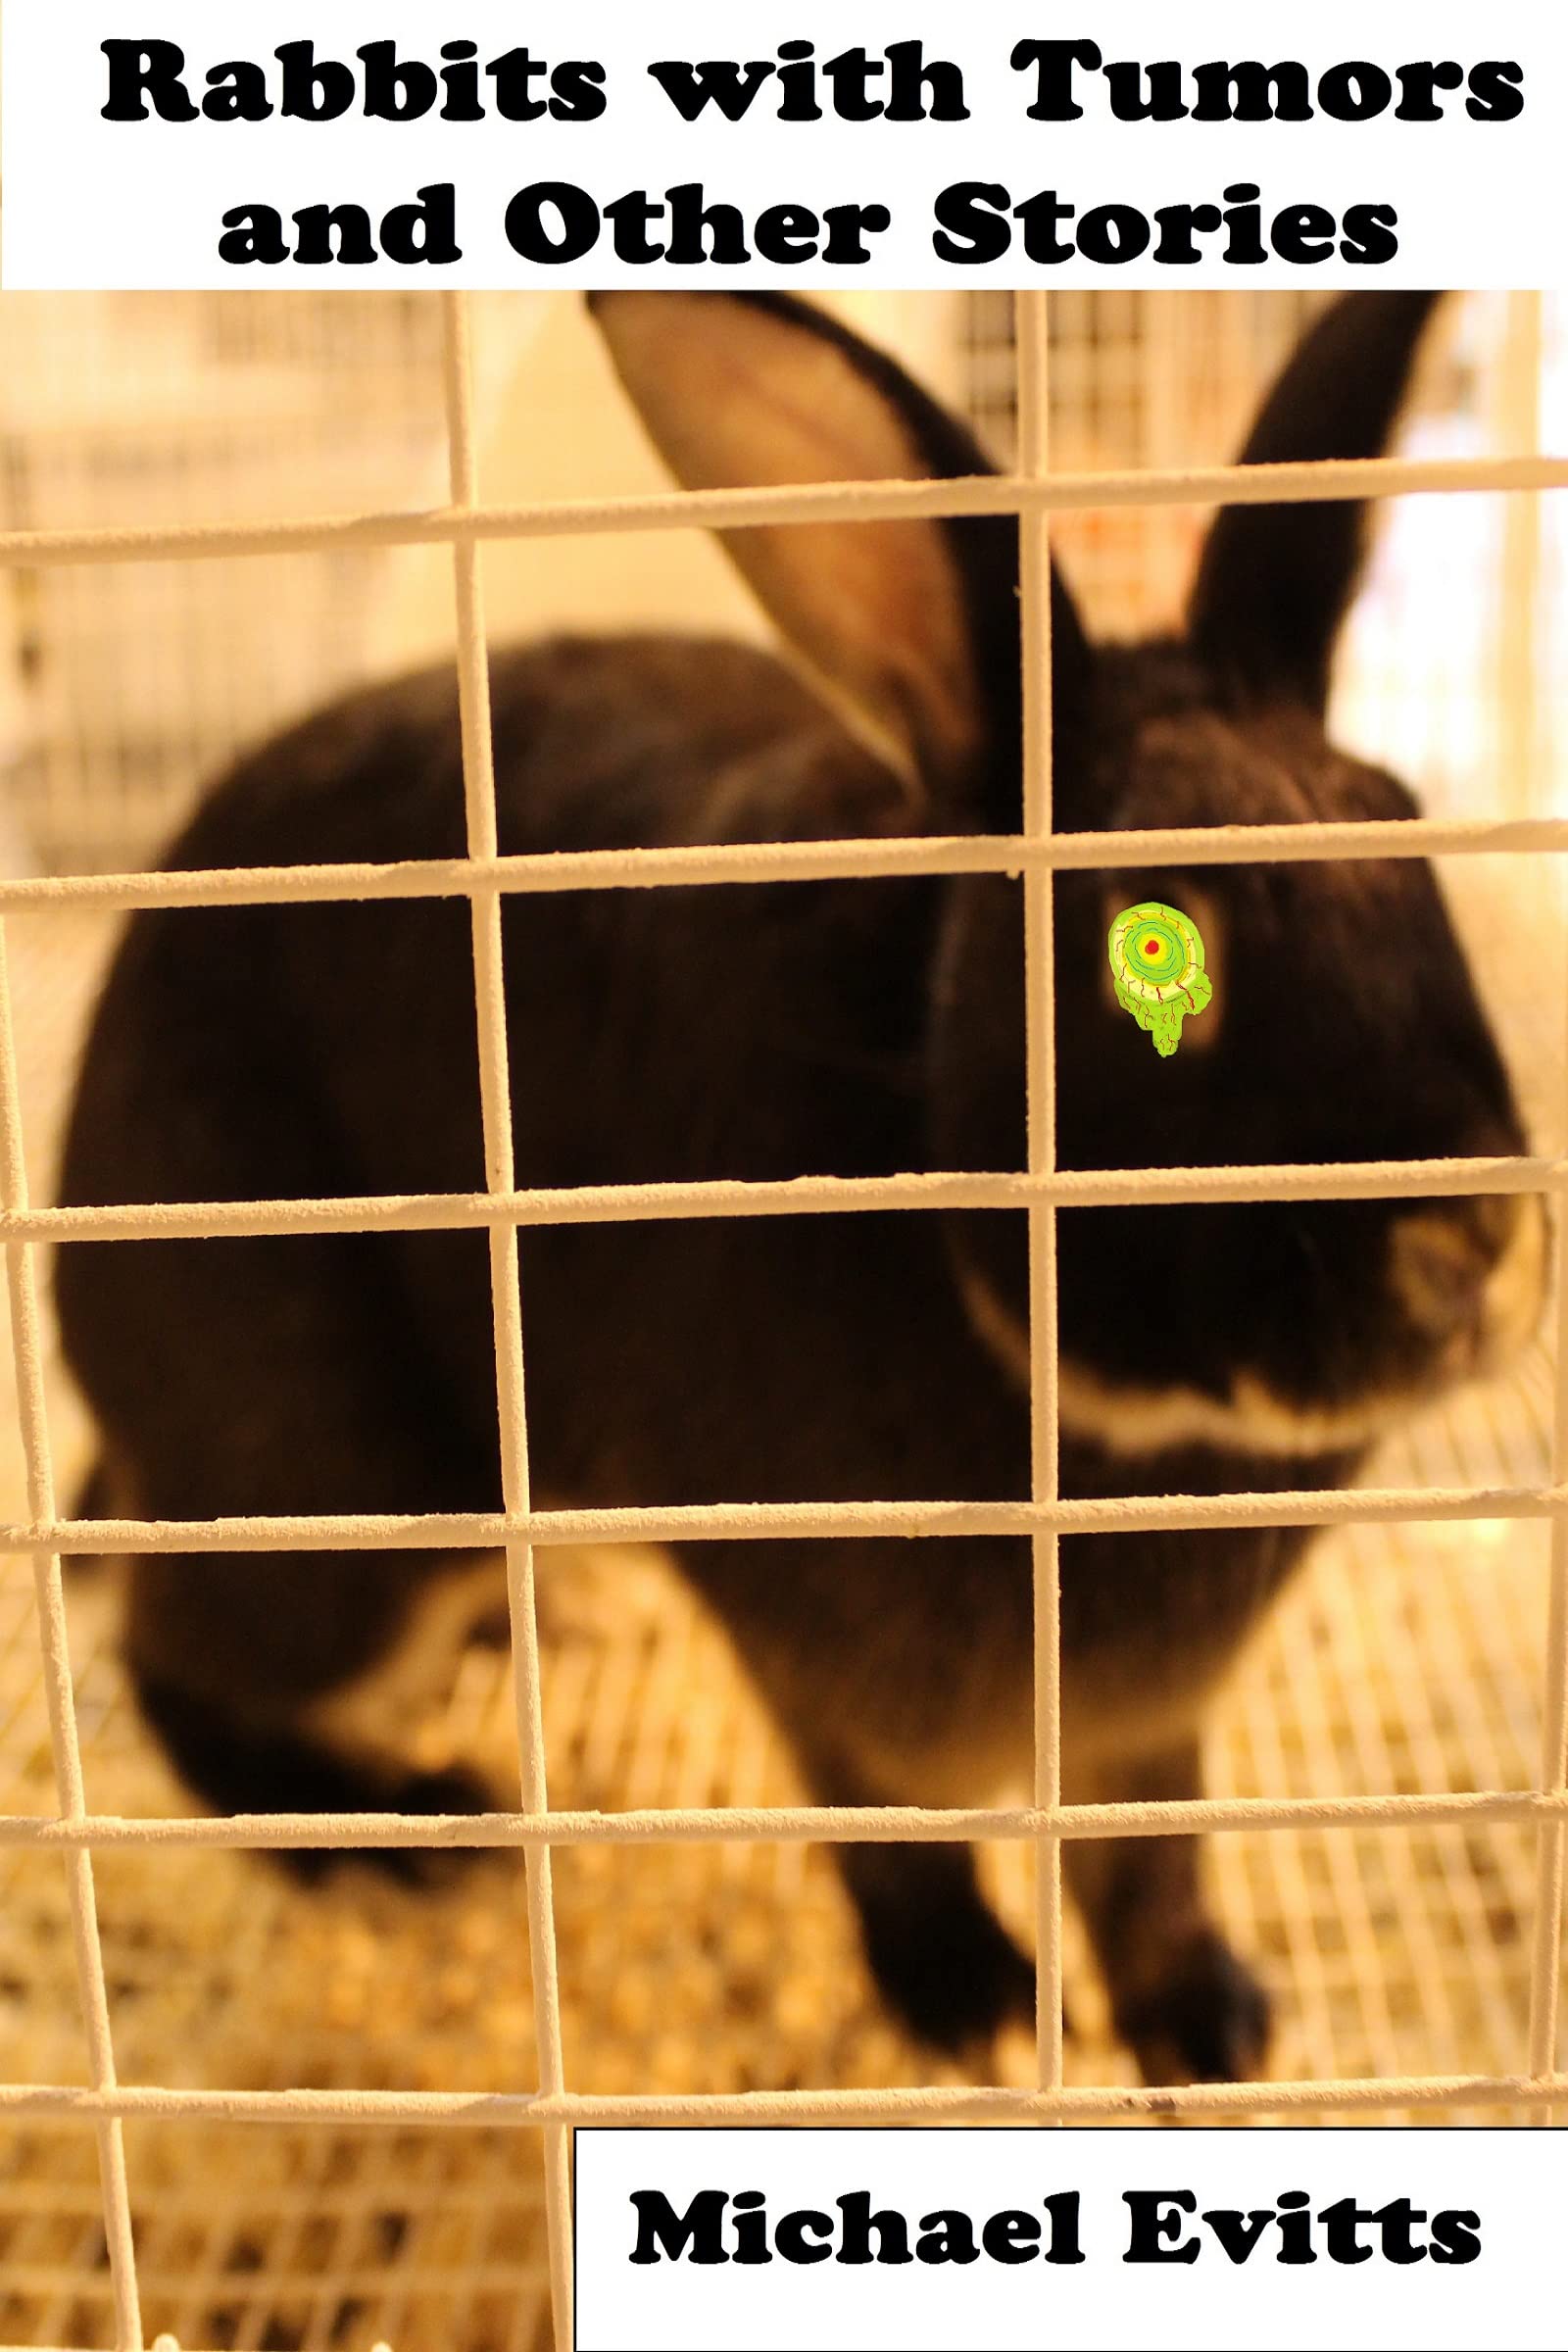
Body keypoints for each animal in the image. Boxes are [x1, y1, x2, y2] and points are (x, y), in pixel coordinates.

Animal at [54, 289, 1545, 2086]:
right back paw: (405, 1841)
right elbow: (887, 1835)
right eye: (1151, 945)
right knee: (177, 1659)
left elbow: (1154, 1855)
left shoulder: (1148, 1737)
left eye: (1413, 837)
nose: (1477, 1241)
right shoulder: (820, 1679)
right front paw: (976, 2008)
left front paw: (1208, 2027)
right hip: (332, 1484)